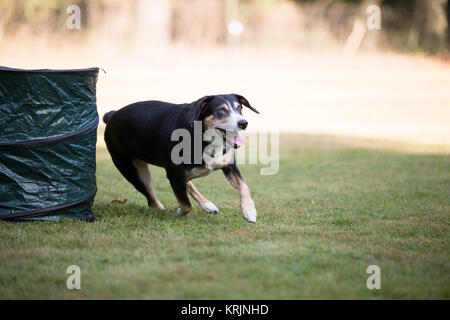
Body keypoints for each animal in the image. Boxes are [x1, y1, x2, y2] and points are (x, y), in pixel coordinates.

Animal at [101, 93, 256, 222]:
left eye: (239, 108)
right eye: (221, 110)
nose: (243, 123)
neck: (203, 138)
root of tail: (112, 116)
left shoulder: (229, 166)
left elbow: (244, 187)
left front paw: (249, 211)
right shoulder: (174, 175)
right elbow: (187, 205)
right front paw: (178, 212)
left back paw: (207, 205)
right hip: (135, 173)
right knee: (151, 198)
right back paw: (162, 211)